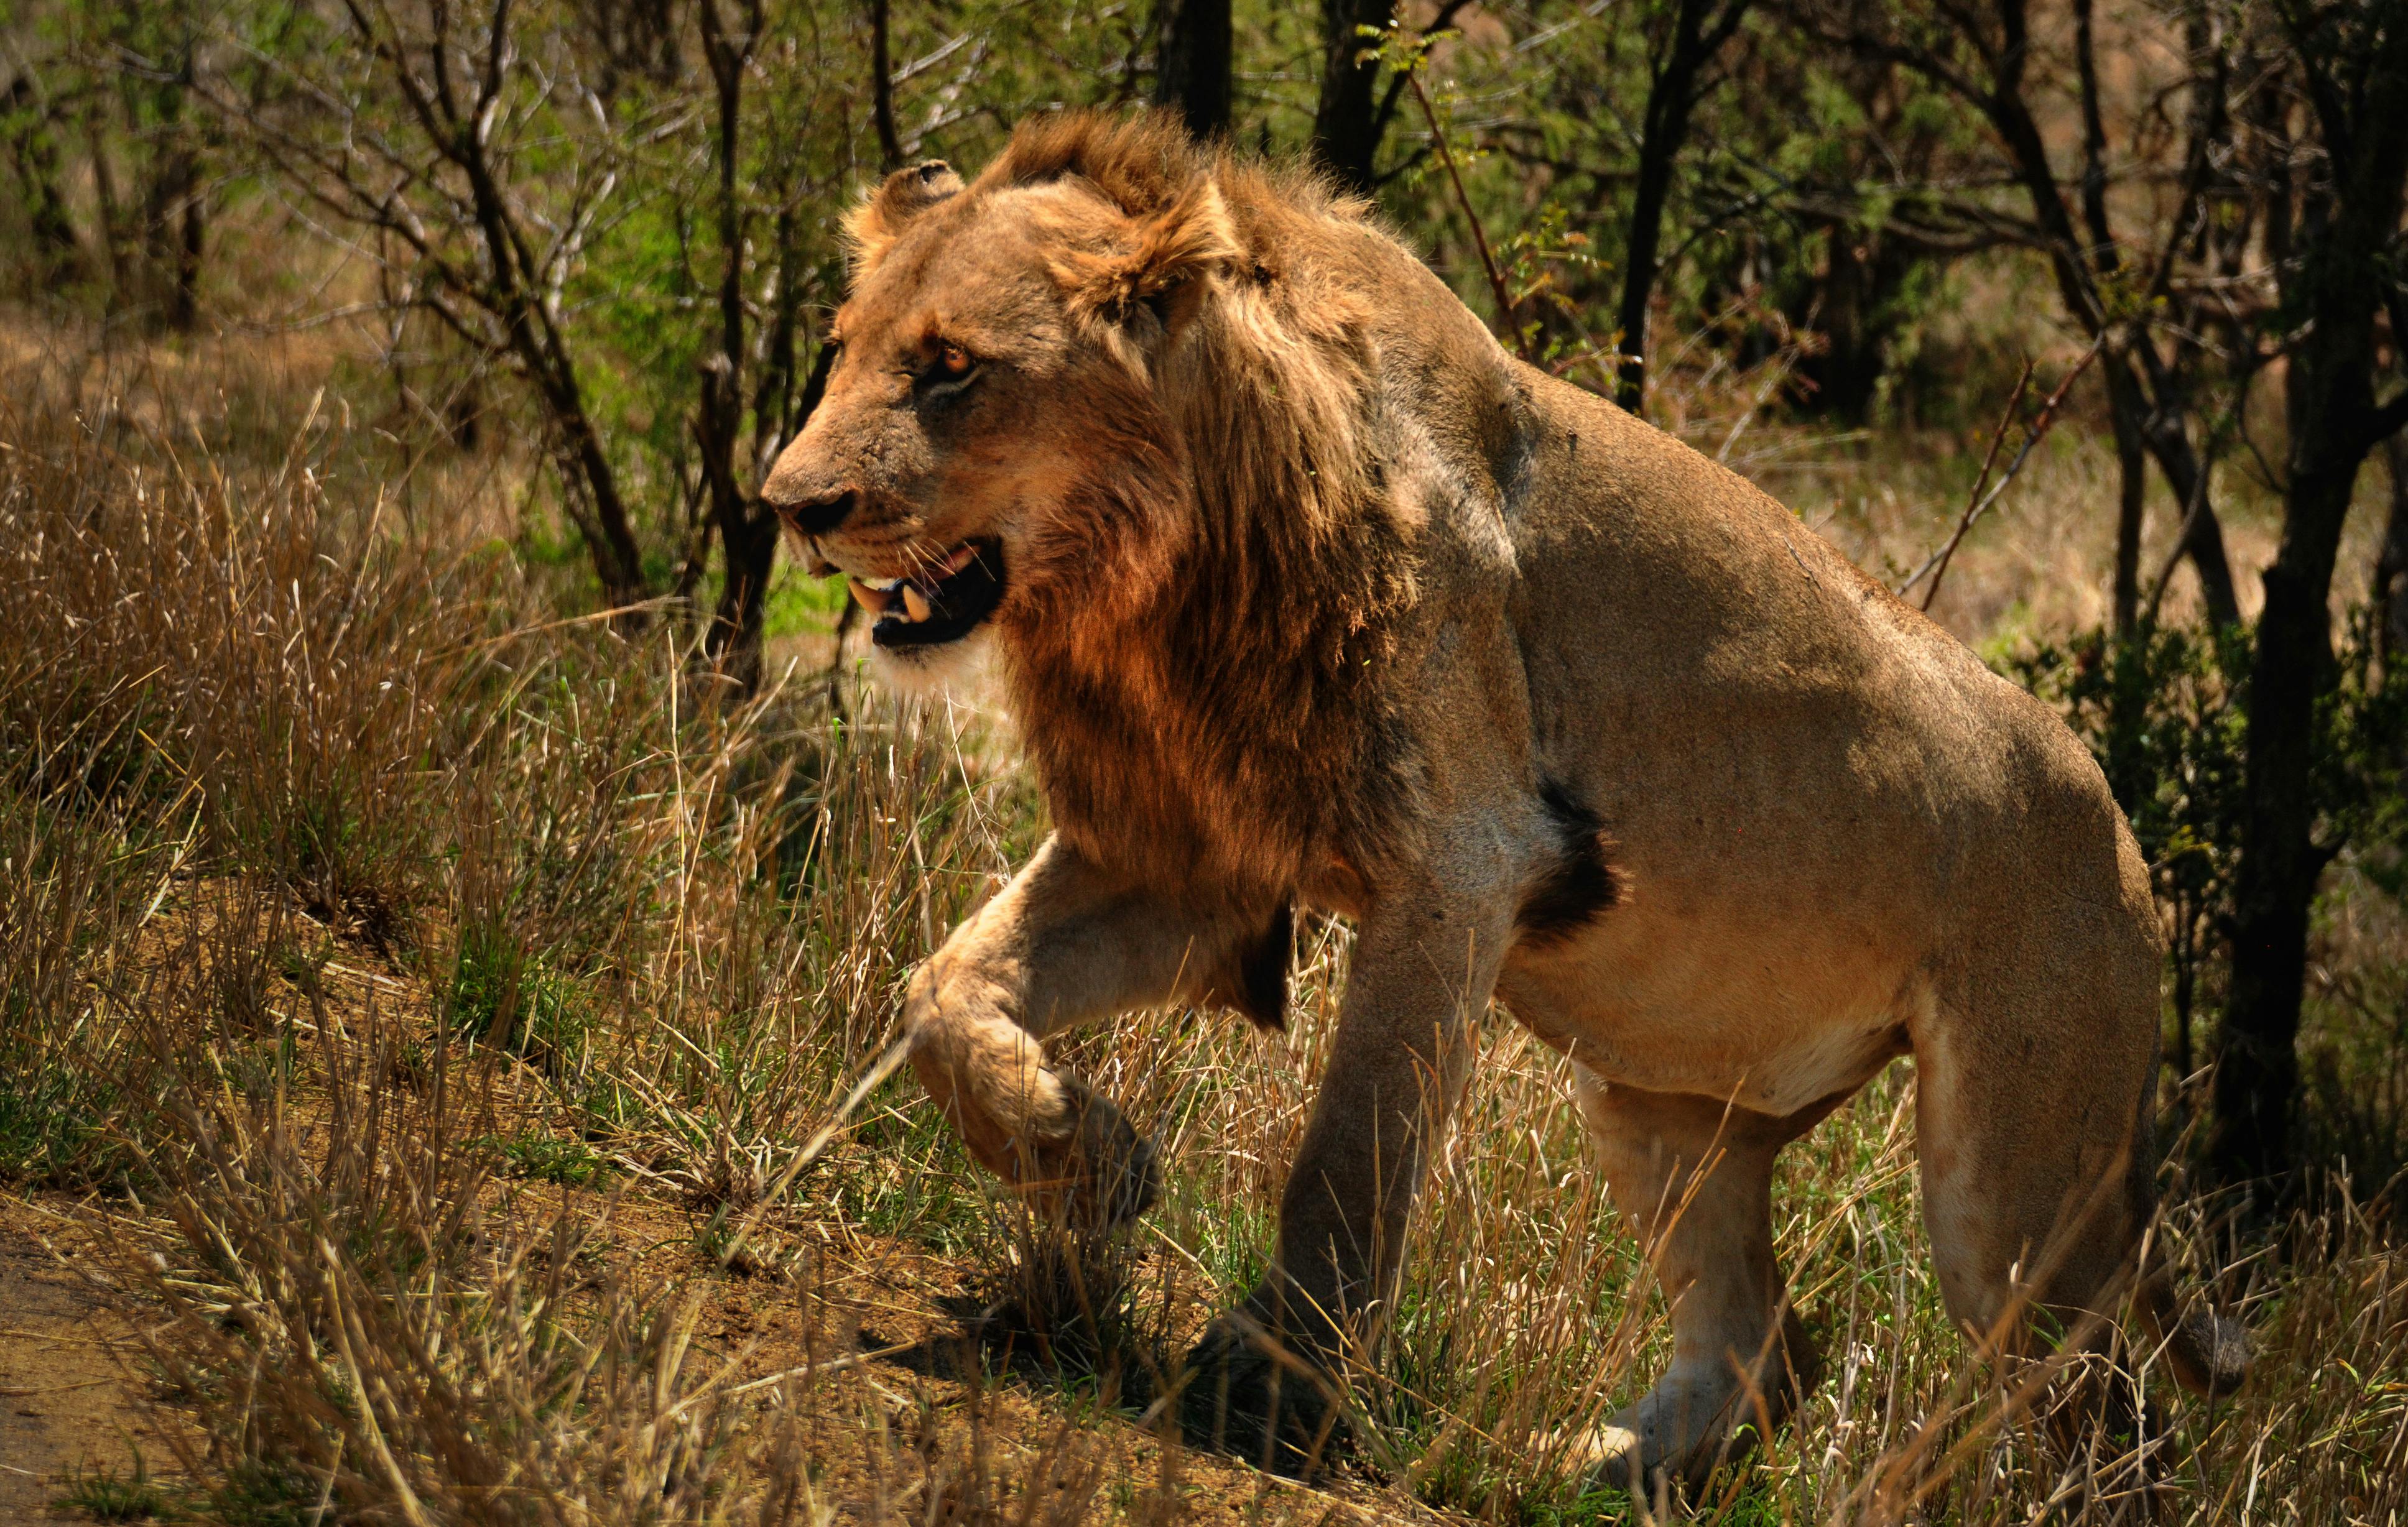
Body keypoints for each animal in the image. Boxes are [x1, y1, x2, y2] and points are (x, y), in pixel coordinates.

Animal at [759, 112, 2250, 1484]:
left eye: (953, 369)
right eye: (843, 344)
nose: (788, 504)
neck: (1158, 580)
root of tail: (2129, 850)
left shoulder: (1458, 867)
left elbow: (1348, 1159)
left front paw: (1268, 1389)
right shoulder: (1192, 854)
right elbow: (941, 991)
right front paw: (1096, 1159)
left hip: (2014, 1192)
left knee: (2113, 1424)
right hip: (1667, 1095)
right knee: (1765, 1346)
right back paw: (1580, 1471)